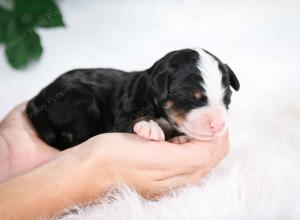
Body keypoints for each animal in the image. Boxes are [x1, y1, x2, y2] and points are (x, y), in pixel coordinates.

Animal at [27, 48, 240, 150]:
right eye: (192, 98)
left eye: (227, 99)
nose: (219, 125)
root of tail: (39, 96)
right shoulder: (120, 117)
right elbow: (133, 120)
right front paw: (149, 126)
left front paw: (178, 137)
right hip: (80, 100)